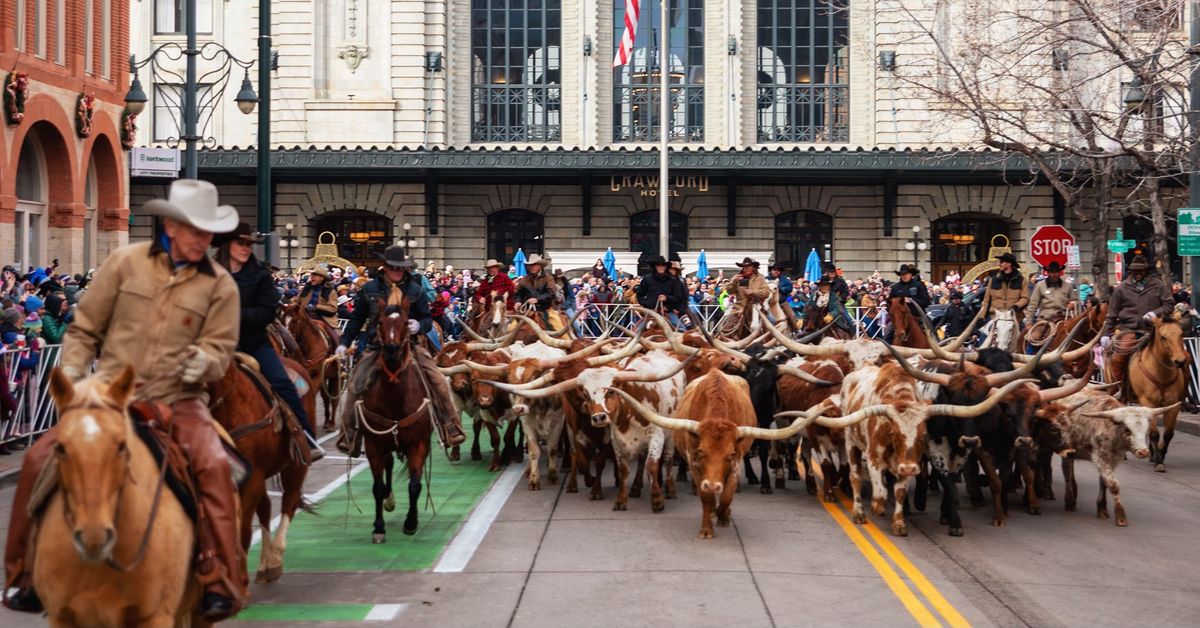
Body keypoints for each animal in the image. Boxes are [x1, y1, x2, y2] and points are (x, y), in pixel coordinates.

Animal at [208, 355, 316, 583]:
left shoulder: (253, 478)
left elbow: (243, 532)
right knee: (266, 507)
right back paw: (265, 563)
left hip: (295, 465)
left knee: (289, 501)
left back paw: (274, 560)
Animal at [279, 304, 338, 432]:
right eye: (282, 319)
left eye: (295, 321)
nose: (285, 345)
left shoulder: (317, 376)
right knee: (326, 398)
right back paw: (326, 421)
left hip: (334, 377)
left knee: (334, 400)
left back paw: (332, 423)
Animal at [355, 302, 436, 542]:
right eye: (380, 322)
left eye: (406, 322)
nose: (391, 350)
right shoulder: (374, 445)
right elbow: (377, 487)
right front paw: (378, 527)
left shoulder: (419, 444)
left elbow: (415, 485)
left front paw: (411, 522)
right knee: (388, 466)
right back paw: (389, 501)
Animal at [1113, 319, 1190, 470]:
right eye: (1163, 337)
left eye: (1181, 334)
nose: (1180, 361)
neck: (1161, 374)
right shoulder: (1148, 403)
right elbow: (1154, 433)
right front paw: (1159, 460)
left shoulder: (1174, 405)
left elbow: (1168, 434)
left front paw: (1159, 456)